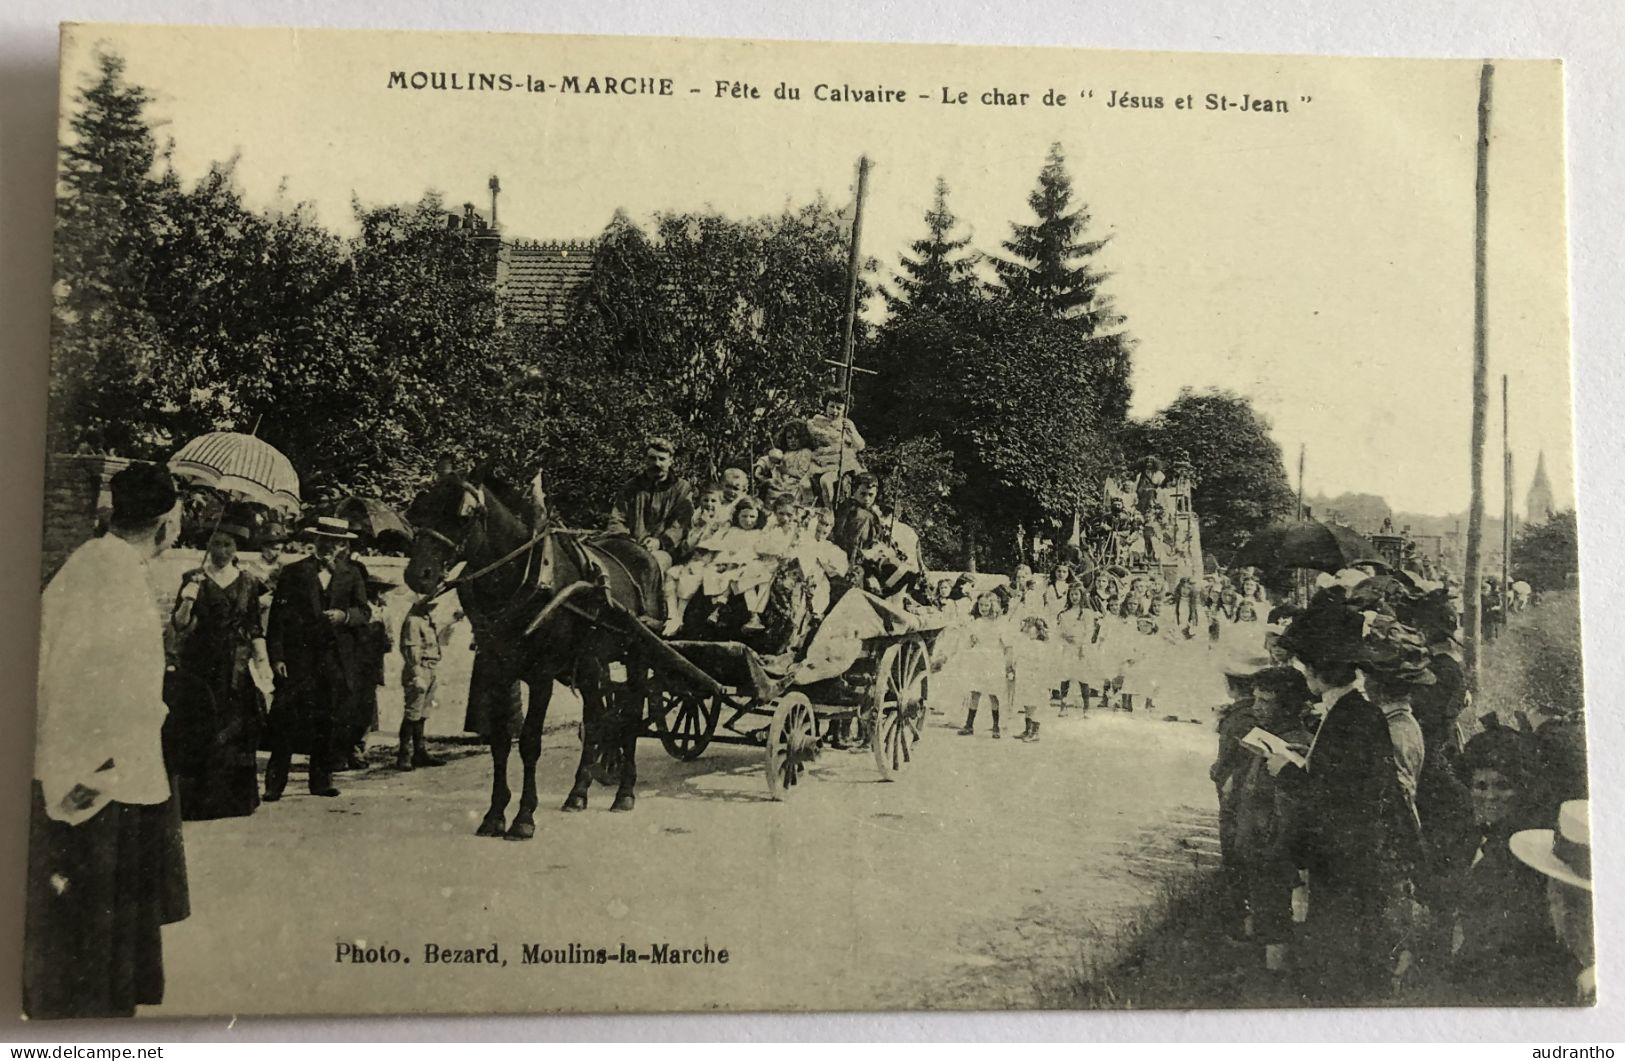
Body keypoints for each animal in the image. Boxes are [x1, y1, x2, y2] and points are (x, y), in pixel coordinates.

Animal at [403, 471, 663, 838]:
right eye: (421, 510)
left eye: (464, 516)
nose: (417, 575)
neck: (523, 578)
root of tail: (642, 550)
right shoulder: (497, 670)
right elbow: (500, 742)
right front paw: (494, 814)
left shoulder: (542, 675)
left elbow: (529, 742)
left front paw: (524, 817)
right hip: (591, 662)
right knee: (596, 717)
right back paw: (578, 792)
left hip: (638, 654)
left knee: (629, 716)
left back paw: (624, 793)